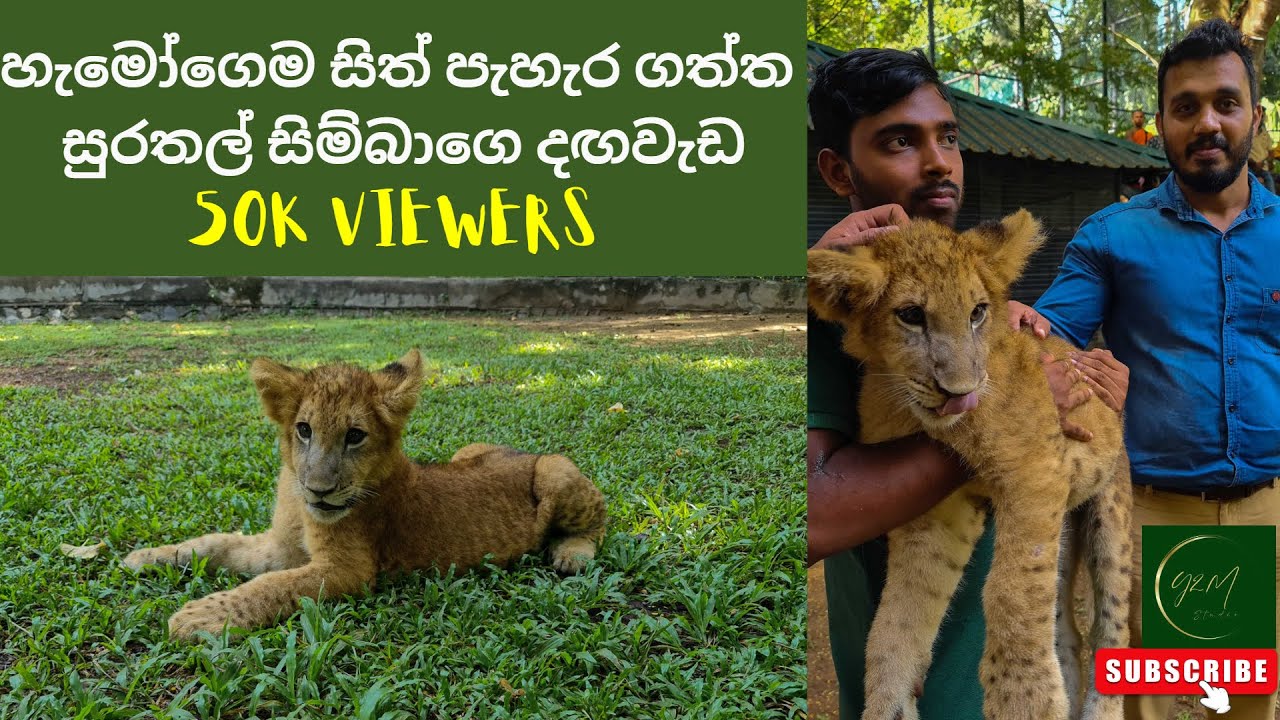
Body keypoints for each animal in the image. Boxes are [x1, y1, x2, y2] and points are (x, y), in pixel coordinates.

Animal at [124, 349, 607, 642]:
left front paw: (197, 617)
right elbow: (215, 544)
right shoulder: (281, 547)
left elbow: (268, 587)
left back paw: (572, 554)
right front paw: (146, 556)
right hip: (467, 452)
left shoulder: (349, 569)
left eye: (355, 436)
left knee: (602, 516)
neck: (299, 503)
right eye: (304, 430)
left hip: (555, 472)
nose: (319, 490)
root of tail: (525, 453)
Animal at [808, 210, 1131, 720]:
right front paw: (888, 705)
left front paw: (1024, 701)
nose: (959, 392)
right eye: (911, 315)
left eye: (978, 312)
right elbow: (897, 619)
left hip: (1110, 518)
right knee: (1066, 632)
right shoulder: (938, 511)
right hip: (1060, 531)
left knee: (1111, 631)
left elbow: (1011, 593)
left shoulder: (1034, 469)